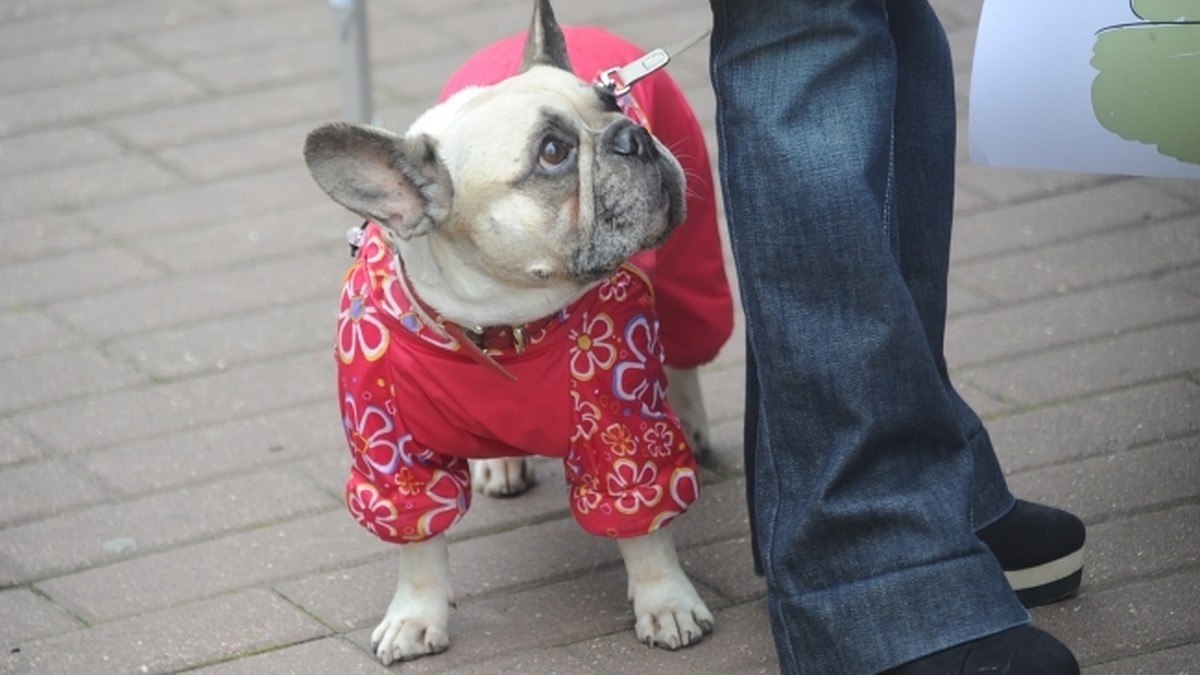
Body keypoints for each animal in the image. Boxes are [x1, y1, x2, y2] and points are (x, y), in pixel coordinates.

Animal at [304, 0, 724, 662]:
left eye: (614, 100)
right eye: (552, 152)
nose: (632, 134)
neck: (499, 322)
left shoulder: (622, 429)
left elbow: (643, 524)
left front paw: (666, 601)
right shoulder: (389, 451)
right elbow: (417, 538)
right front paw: (415, 615)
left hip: (692, 266)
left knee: (687, 349)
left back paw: (694, 421)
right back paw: (501, 464)